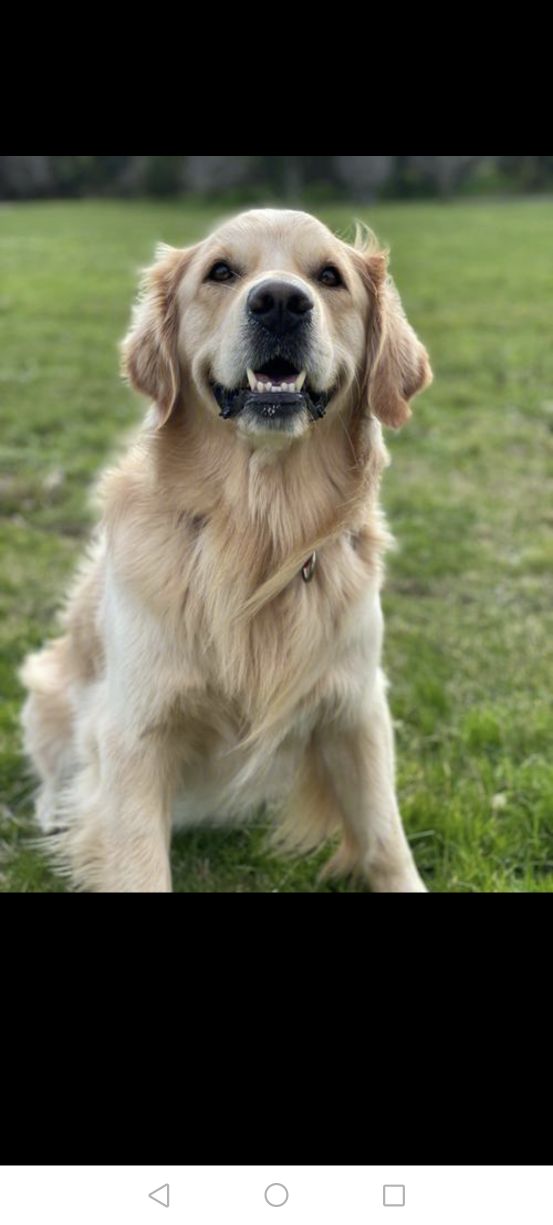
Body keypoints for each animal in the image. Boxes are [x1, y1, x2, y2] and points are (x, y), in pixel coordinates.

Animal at [20, 207, 433, 892]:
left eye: (329, 276)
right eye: (220, 272)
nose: (281, 303)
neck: (257, 530)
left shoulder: (356, 705)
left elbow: (382, 837)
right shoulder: (134, 731)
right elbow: (137, 862)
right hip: (48, 685)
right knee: (55, 769)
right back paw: (55, 809)